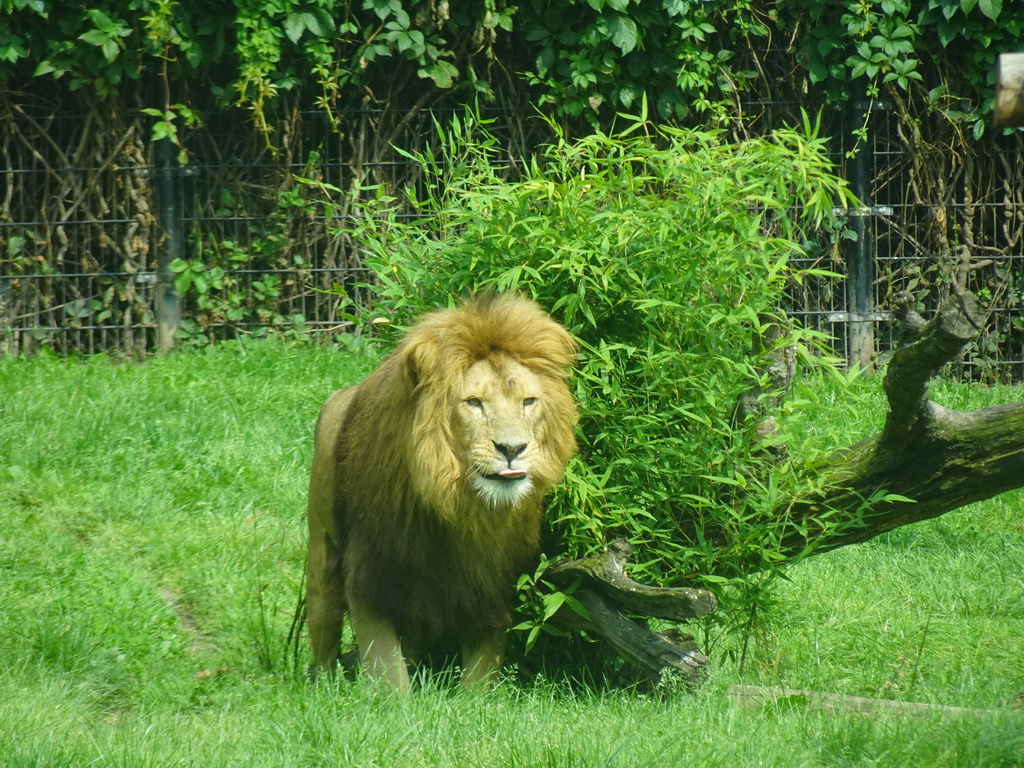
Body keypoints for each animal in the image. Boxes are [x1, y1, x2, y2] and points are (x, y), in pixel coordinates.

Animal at [303, 292, 577, 692]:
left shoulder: (489, 580)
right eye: (474, 402)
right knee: (323, 625)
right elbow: (385, 661)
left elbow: (483, 664)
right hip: (321, 552)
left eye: (528, 402)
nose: (512, 448)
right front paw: (396, 701)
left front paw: (473, 699)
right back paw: (323, 687)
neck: (457, 503)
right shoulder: (372, 569)